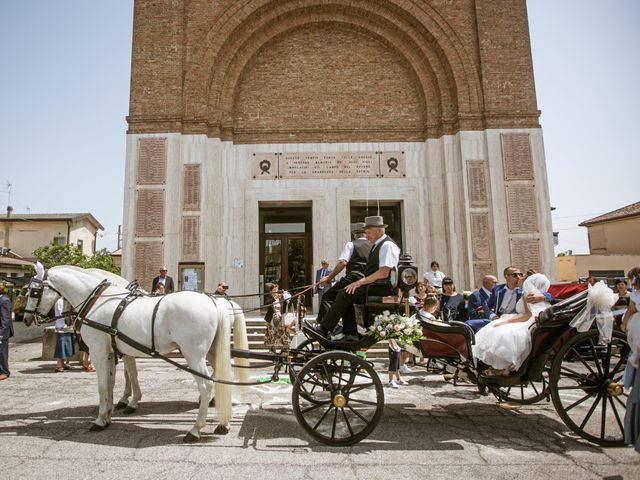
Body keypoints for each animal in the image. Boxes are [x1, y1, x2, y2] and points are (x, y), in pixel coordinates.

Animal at [23, 266, 248, 442]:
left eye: (33, 291)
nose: (26, 318)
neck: (99, 301)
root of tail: (215, 302)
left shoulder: (99, 352)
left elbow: (105, 385)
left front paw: (102, 418)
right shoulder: (114, 352)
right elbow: (115, 380)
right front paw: (113, 411)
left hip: (193, 354)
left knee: (207, 385)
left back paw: (195, 429)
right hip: (212, 351)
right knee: (220, 379)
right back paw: (224, 422)